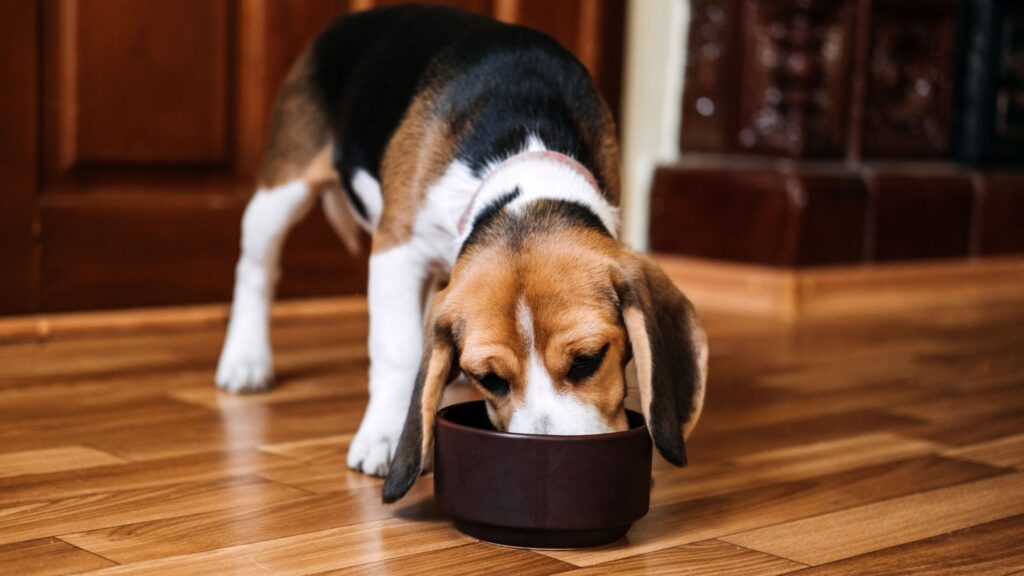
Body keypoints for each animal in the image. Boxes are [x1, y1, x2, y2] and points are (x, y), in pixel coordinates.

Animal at [217, 4, 708, 500]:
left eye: (589, 360)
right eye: (490, 381)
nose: (549, 461)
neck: (524, 160)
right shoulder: (396, 250)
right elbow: (396, 348)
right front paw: (384, 435)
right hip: (281, 193)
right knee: (256, 270)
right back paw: (245, 359)